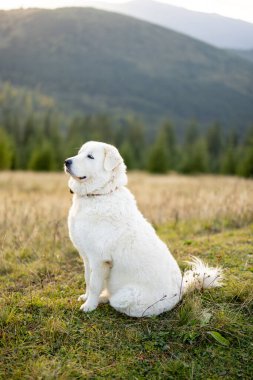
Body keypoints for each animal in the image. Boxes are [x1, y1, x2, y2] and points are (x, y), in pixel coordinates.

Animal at [64, 141, 222, 316]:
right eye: (80, 153)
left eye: (90, 156)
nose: (66, 162)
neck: (98, 195)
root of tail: (181, 291)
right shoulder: (86, 256)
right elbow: (87, 278)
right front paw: (86, 298)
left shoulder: (99, 259)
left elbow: (94, 284)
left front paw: (89, 306)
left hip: (124, 297)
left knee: (116, 301)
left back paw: (103, 298)